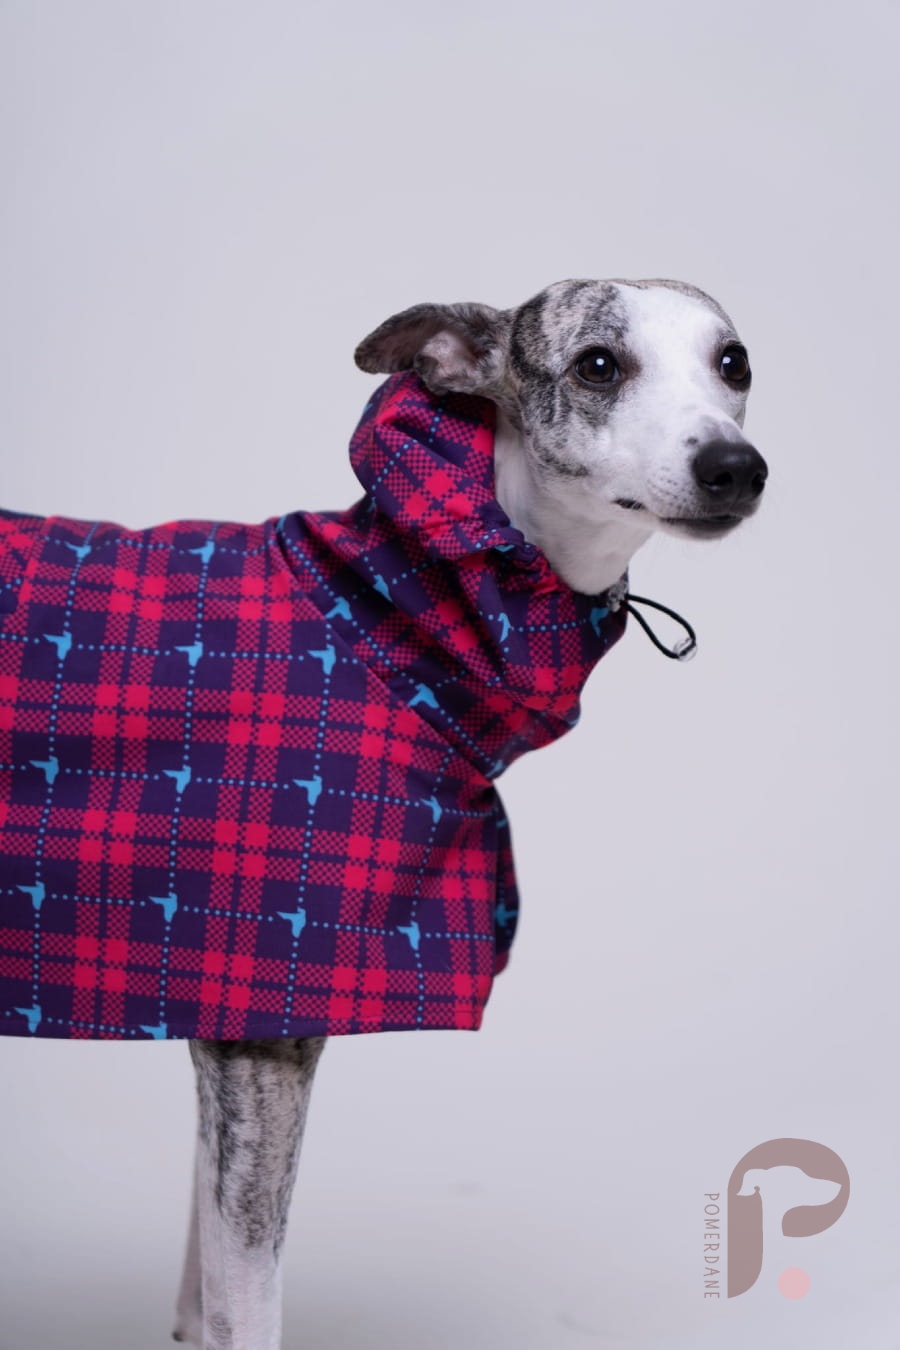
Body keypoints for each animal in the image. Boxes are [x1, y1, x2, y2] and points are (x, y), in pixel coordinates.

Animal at [0, 279, 766, 1349]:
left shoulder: (215, 1010)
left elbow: (204, 1290)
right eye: (598, 364)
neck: (392, 616)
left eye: (734, 363)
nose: (736, 468)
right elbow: (249, 1304)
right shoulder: (263, 1031)